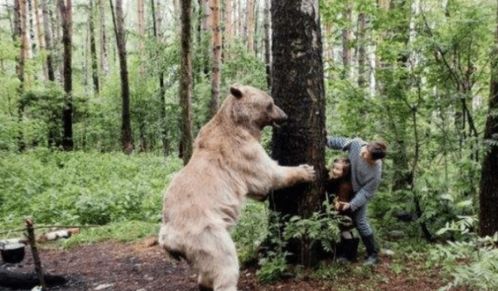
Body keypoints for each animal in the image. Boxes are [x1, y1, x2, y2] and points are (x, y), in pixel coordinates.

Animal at [159, 85, 316, 291]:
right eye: (270, 103)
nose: (285, 115)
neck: (240, 124)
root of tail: (168, 239)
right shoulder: (241, 151)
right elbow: (268, 174)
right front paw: (306, 170)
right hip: (206, 233)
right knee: (225, 262)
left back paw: (203, 283)